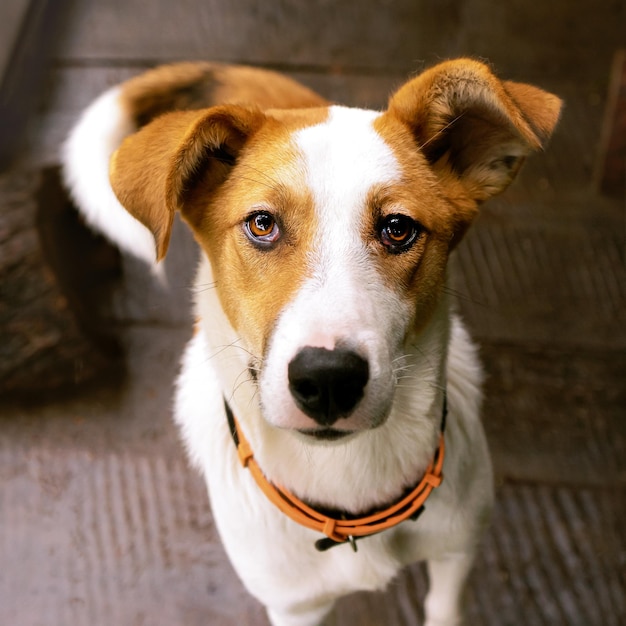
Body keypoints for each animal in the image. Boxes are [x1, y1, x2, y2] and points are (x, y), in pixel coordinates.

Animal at [63, 59, 560, 624]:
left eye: (397, 228)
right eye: (262, 224)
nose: (327, 380)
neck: (348, 487)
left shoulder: (458, 551)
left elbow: (444, 606)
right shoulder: (295, 605)